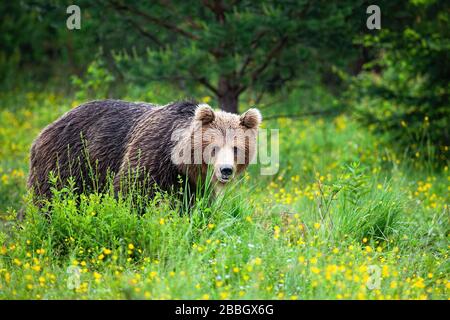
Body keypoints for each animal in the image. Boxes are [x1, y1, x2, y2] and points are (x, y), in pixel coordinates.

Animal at [26, 99, 262, 201]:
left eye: (236, 148)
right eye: (213, 147)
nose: (225, 170)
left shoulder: (194, 185)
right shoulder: (150, 154)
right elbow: (129, 190)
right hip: (69, 160)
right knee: (51, 196)